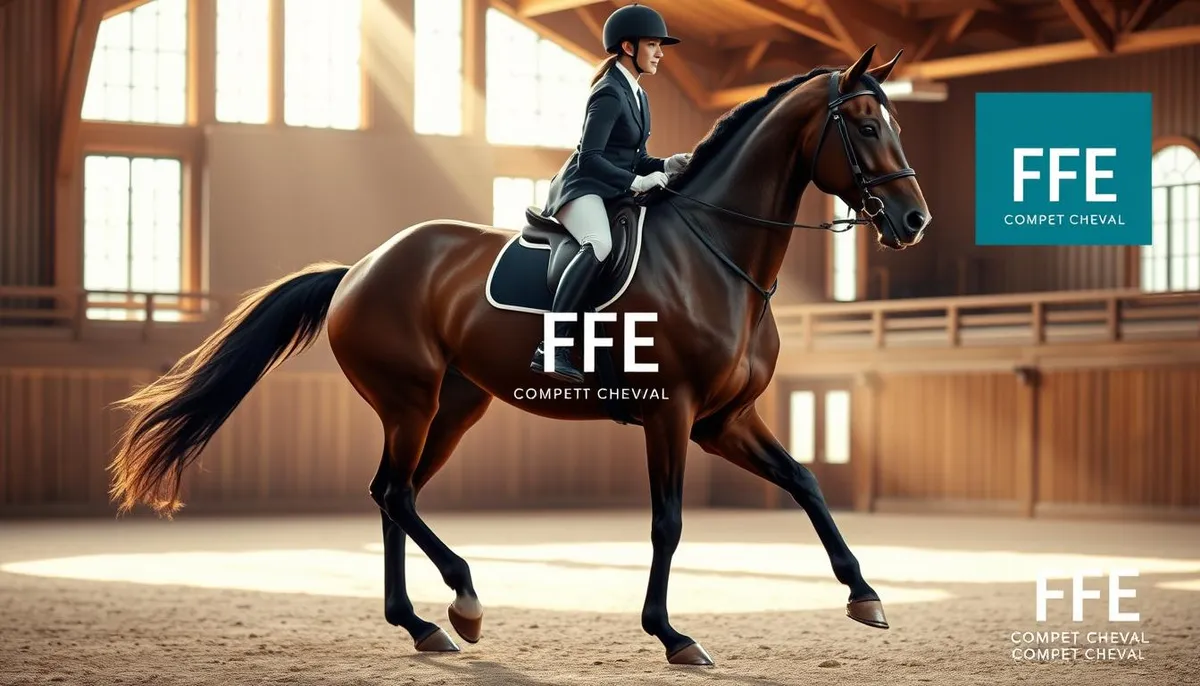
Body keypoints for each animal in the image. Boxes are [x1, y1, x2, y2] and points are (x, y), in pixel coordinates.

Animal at [107, 44, 930, 667]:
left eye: (893, 121)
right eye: (863, 125)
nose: (914, 221)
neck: (716, 256)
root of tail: (361, 268)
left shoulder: (723, 418)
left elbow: (806, 481)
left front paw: (865, 596)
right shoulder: (672, 414)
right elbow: (668, 522)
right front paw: (672, 635)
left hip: (455, 406)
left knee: (393, 494)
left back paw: (424, 624)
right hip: (410, 400)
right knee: (395, 492)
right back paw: (463, 602)